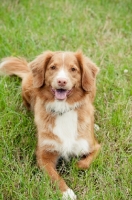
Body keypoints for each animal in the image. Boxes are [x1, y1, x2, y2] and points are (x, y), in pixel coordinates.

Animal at [0, 50, 100, 199]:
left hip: (92, 88)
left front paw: (76, 165)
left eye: (73, 69)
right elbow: (54, 175)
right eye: (53, 67)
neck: (63, 109)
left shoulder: (94, 146)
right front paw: (66, 192)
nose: (61, 81)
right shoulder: (44, 155)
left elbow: (85, 163)